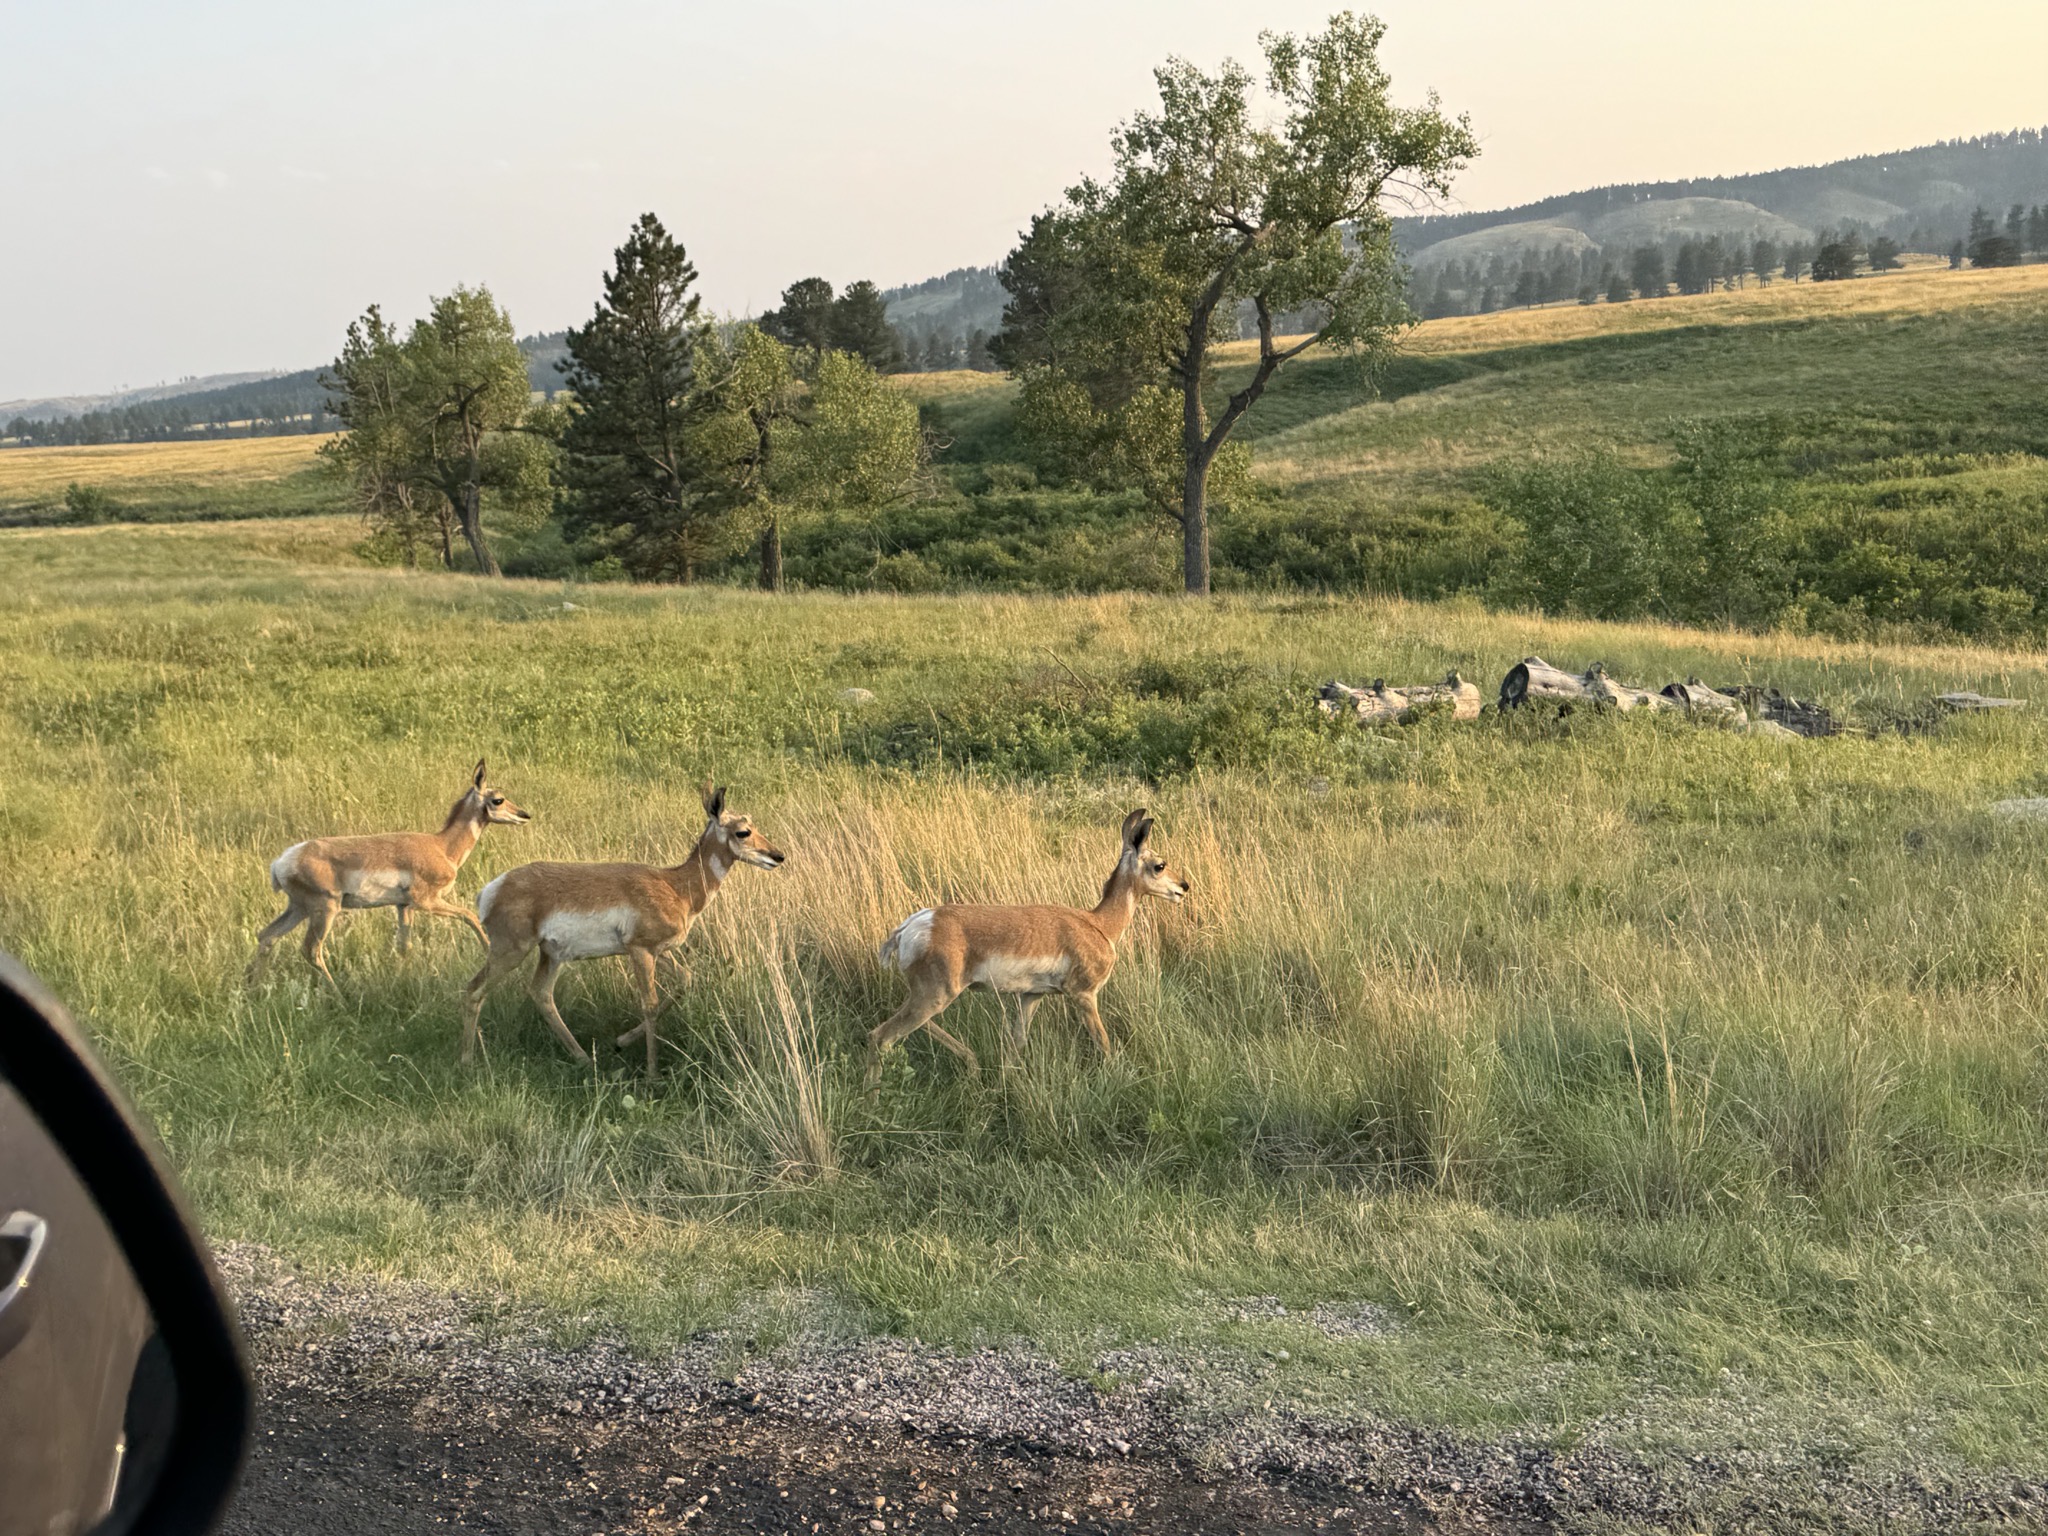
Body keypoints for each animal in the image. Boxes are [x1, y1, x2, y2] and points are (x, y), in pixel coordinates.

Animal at [249, 760, 533, 986]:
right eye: (497, 799)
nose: (525, 815)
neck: (441, 846)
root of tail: (282, 861)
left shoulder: (403, 906)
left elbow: (404, 946)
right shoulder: (426, 902)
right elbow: (469, 916)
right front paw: (489, 951)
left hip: (299, 908)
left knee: (267, 936)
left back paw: (252, 988)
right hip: (324, 909)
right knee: (311, 950)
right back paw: (338, 994)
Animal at [460, 782, 786, 1077]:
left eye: (753, 823)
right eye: (743, 831)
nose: (778, 856)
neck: (675, 886)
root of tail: (491, 889)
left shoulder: (660, 951)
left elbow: (685, 980)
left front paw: (621, 1041)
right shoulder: (640, 951)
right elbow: (650, 1004)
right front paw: (653, 1074)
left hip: (550, 955)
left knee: (540, 993)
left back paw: (583, 1058)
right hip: (511, 951)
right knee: (474, 990)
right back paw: (469, 1062)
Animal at [867, 808, 1188, 1092]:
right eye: (1160, 865)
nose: (1184, 886)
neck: (1098, 924)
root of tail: (912, 925)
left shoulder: (1031, 996)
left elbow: (1017, 1043)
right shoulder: (1084, 996)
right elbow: (1104, 1043)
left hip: (931, 997)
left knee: (914, 1027)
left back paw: (972, 1065)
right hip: (935, 996)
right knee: (880, 1036)